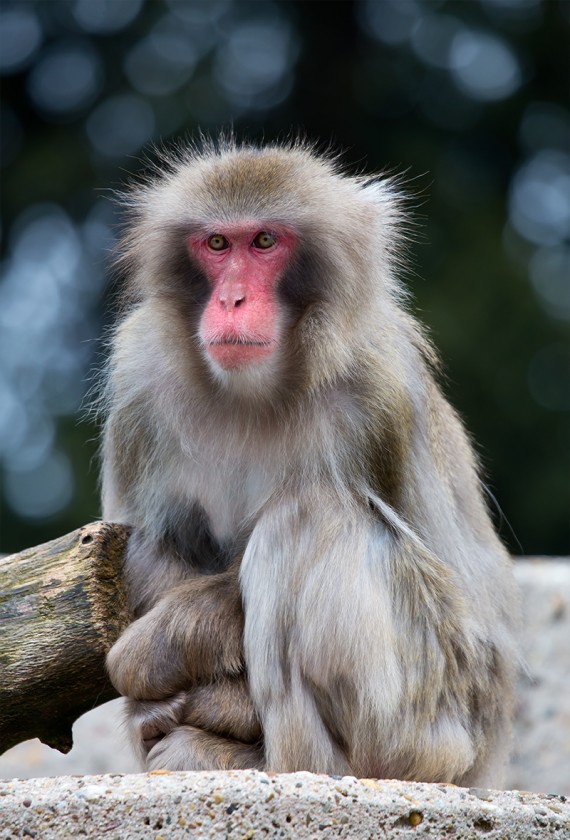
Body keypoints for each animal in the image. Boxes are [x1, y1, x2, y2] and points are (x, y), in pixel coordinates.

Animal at [102, 138, 520, 788]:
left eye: (264, 241)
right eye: (217, 244)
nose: (231, 299)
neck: (255, 392)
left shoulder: (377, 393)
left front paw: (165, 658)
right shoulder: (138, 387)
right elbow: (149, 544)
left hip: (433, 732)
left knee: (312, 516)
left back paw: (271, 764)